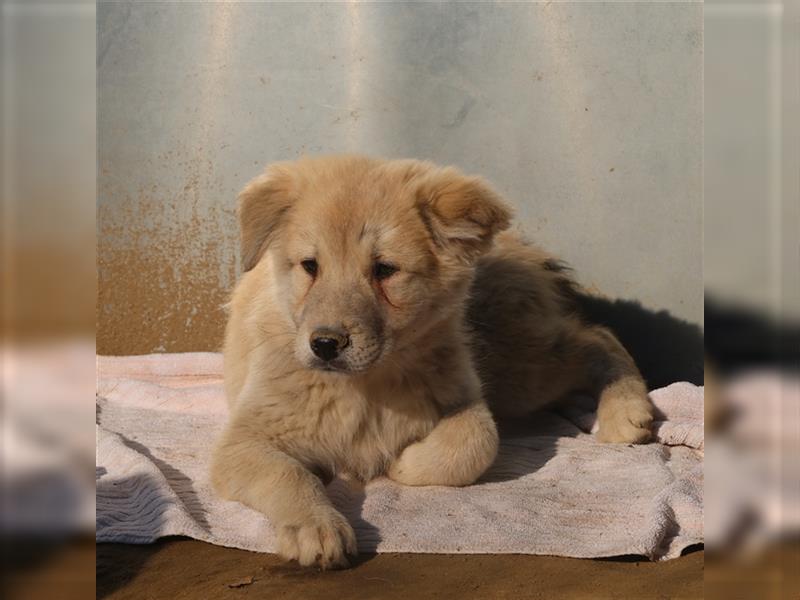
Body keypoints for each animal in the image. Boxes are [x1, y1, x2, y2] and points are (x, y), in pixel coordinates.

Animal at [209, 155, 652, 568]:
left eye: (384, 269)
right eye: (310, 266)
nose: (325, 345)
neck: (366, 386)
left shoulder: (465, 399)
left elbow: (476, 442)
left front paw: (401, 465)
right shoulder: (244, 440)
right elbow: (288, 474)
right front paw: (316, 527)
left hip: (516, 371)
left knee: (597, 337)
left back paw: (628, 413)